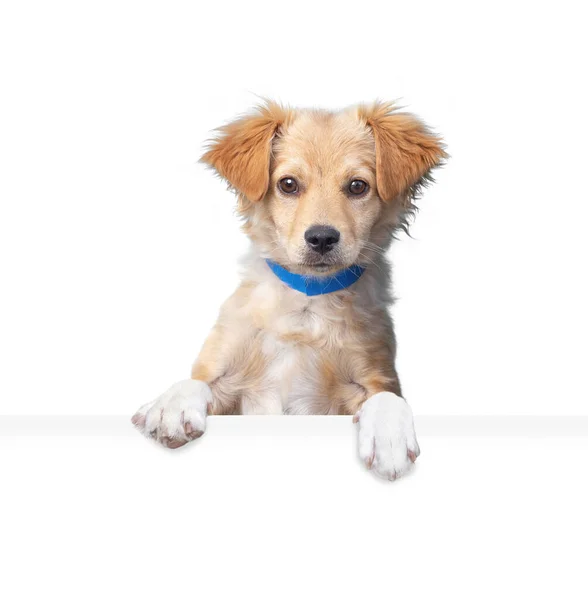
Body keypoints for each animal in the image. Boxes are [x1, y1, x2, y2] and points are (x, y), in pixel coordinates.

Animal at [132, 101, 446, 480]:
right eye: (288, 184)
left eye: (358, 186)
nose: (322, 238)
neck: (305, 306)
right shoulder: (227, 384)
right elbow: (197, 382)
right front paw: (171, 406)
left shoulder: (376, 376)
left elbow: (387, 398)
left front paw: (389, 438)